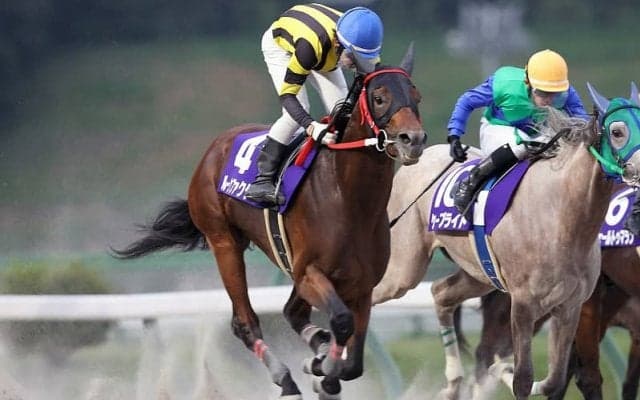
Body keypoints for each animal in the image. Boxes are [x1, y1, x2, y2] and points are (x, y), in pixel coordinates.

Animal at [112, 44, 426, 400]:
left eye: (416, 96)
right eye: (379, 97)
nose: (413, 139)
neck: (349, 200)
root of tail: (214, 148)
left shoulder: (361, 285)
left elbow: (354, 362)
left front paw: (322, 366)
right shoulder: (310, 274)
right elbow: (342, 323)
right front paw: (324, 373)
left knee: (292, 312)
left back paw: (315, 352)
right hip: (224, 242)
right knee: (244, 321)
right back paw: (286, 379)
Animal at [372, 83, 640, 399]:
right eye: (618, 131)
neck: (562, 216)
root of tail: (421, 157)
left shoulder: (570, 305)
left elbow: (554, 379)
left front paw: (502, 370)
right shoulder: (523, 303)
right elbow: (523, 379)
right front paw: (506, 372)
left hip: (480, 274)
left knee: (440, 292)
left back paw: (452, 383)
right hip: (404, 269)